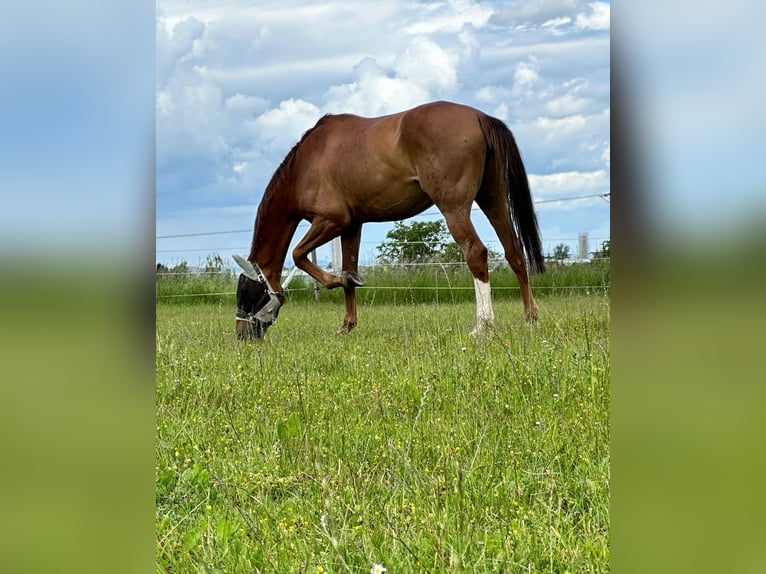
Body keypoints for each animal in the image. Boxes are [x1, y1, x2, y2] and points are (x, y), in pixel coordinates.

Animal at [234, 100, 544, 340]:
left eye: (245, 292)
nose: (241, 335)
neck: (304, 166)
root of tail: (479, 116)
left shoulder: (331, 221)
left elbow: (299, 255)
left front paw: (337, 282)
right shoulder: (352, 226)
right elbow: (349, 268)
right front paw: (347, 321)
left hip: (455, 208)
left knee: (476, 253)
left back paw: (483, 325)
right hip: (494, 200)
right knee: (514, 252)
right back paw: (530, 317)